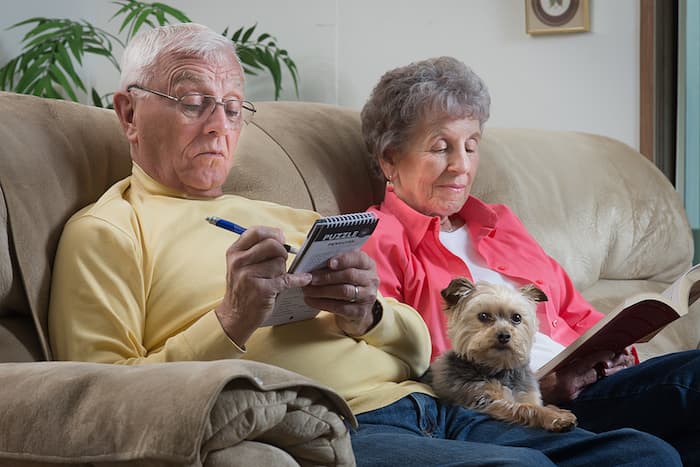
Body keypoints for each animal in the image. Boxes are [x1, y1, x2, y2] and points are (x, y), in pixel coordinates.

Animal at [430, 276, 576, 434]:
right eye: (483, 316)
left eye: (517, 317)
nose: (504, 335)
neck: (499, 366)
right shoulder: (487, 399)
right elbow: (526, 408)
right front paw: (554, 417)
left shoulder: (527, 392)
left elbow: (534, 403)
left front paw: (556, 411)